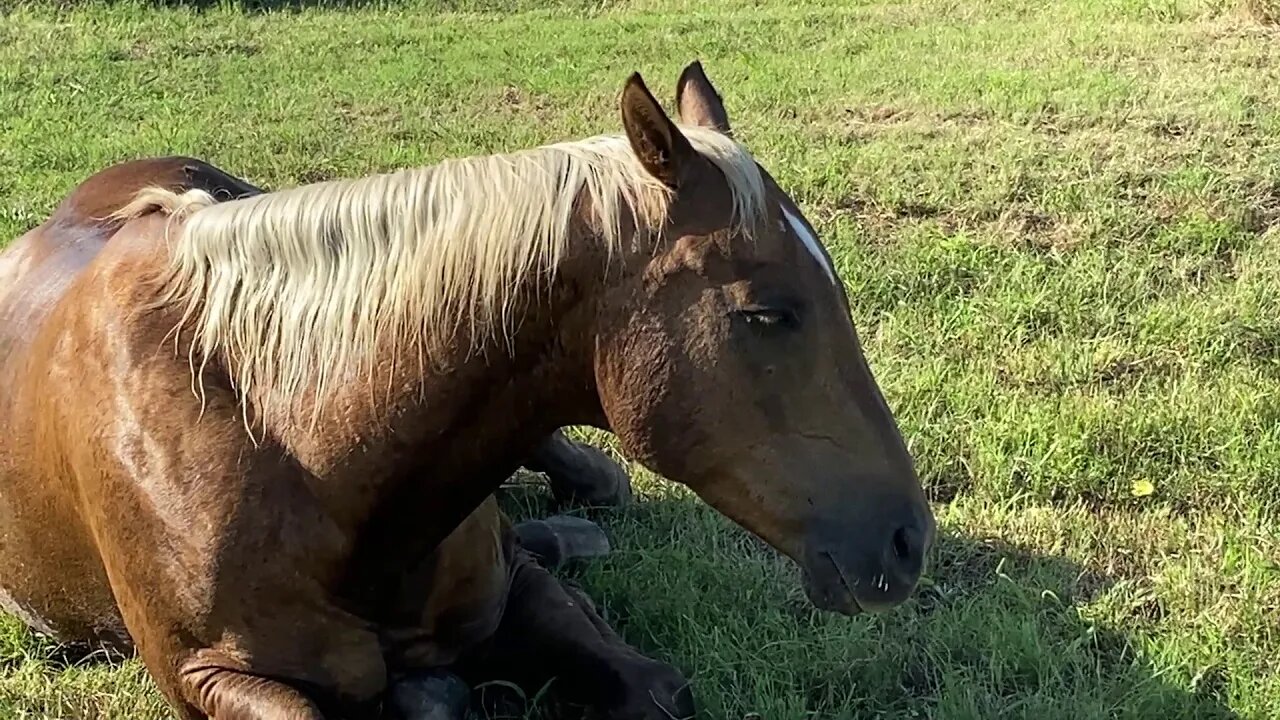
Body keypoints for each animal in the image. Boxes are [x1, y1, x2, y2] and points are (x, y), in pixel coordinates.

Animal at [2, 63, 942, 717]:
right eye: (765, 314)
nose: (905, 541)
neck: (291, 445)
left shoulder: (513, 590)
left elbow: (652, 686)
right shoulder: (211, 675)